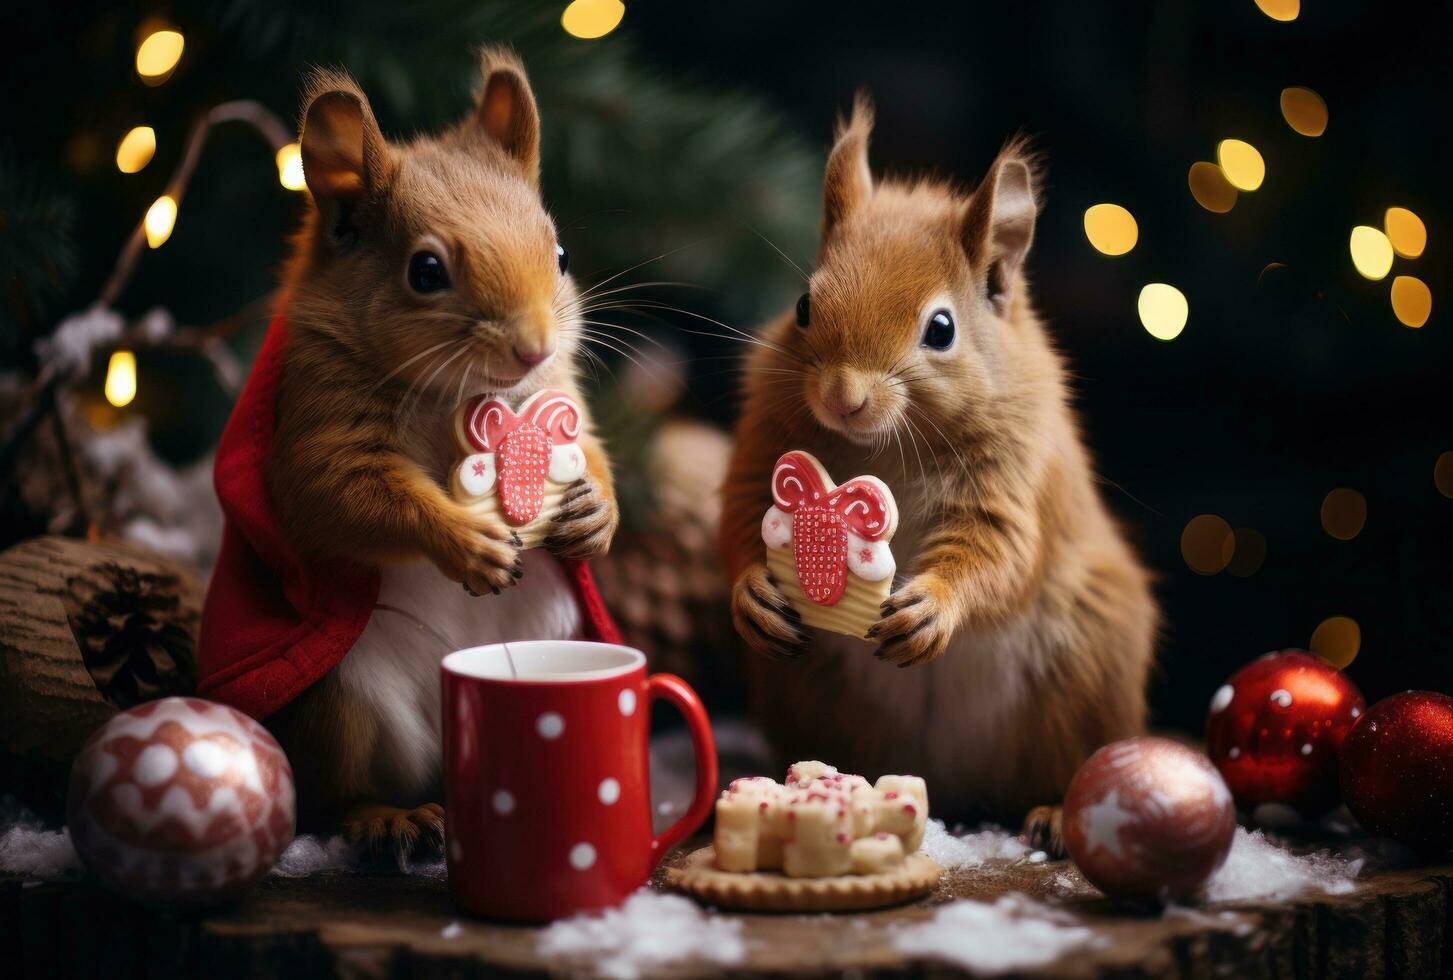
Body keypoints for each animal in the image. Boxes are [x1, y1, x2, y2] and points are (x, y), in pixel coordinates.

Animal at [257, 51, 618, 854]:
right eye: (424, 272)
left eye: (560, 253)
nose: (533, 346)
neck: (458, 394)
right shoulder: (316, 411)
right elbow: (341, 493)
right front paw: (467, 542)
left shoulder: (562, 401)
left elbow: (593, 451)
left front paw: (595, 516)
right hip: (344, 706)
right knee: (337, 793)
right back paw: (388, 818)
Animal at [717, 95, 1156, 849]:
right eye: (803, 305)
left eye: (942, 329)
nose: (843, 398)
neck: (885, 447)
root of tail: (959, 789)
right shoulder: (761, 444)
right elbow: (742, 515)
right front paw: (752, 592)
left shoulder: (1011, 476)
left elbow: (997, 552)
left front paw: (932, 606)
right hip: (807, 696)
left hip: (1087, 676)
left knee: (1073, 762)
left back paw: (1053, 814)